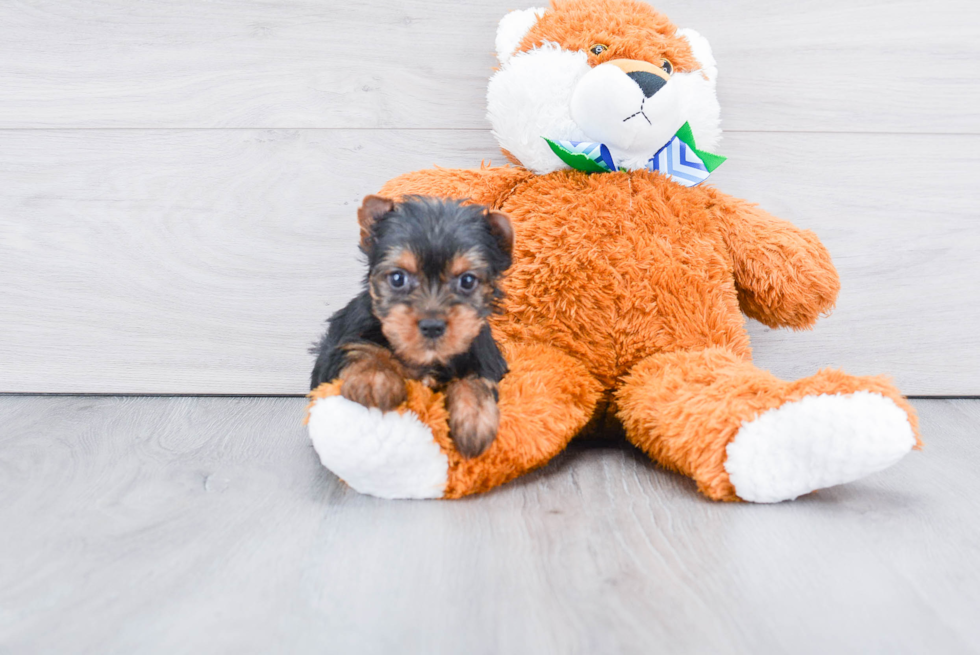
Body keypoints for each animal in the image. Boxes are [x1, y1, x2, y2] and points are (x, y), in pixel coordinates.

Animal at [312, 197, 512, 458]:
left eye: (467, 281)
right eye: (398, 278)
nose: (432, 326)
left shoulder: (486, 358)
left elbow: (476, 380)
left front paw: (474, 419)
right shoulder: (346, 336)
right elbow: (363, 348)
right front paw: (374, 378)